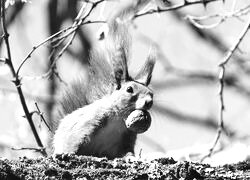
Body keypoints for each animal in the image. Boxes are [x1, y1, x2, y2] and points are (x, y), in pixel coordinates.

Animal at [52, 1, 155, 159]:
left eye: (152, 94)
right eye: (129, 89)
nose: (149, 102)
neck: (119, 119)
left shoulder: (127, 138)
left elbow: (126, 151)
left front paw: (131, 157)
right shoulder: (89, 122)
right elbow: (74, 139)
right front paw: (67, 153)